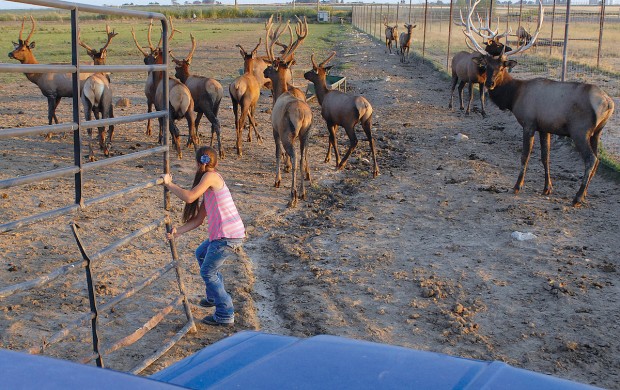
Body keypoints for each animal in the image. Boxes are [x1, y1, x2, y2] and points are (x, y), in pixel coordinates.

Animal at [78, 25, 118, 160]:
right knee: (104, 124)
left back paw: (91, 155)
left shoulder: (95, 109)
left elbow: (98, 128)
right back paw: (105, 151)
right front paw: (104, 146)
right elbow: (108, 125)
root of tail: (92, 85)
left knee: (89, 128)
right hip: (104, 103)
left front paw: (101, 144)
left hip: (86, 105)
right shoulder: (109, 104)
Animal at [262, 16, 312, 207]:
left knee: (294, 156)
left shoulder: (274, 129)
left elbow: (277, 152)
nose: (264, 71)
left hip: (287, 132)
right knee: (302, 156)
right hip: (306, 133)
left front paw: (276, 180)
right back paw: (303, 191)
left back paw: (293, 195)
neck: (281, 91)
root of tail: (303, 116)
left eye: (271, 65)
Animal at [464, 0, 616, 207]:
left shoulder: (529, 122)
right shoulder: (545, 127)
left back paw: (577, 197)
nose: (490, 84)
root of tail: (608, 103)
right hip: (597, 132)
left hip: (580, 130)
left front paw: (517, 186)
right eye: (486, 66)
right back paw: (584, 194)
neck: (514, 96)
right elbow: (545, 157)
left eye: (502, 67)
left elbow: (525, 155)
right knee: (598, 159)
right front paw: (547, 188)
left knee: (591, 159)